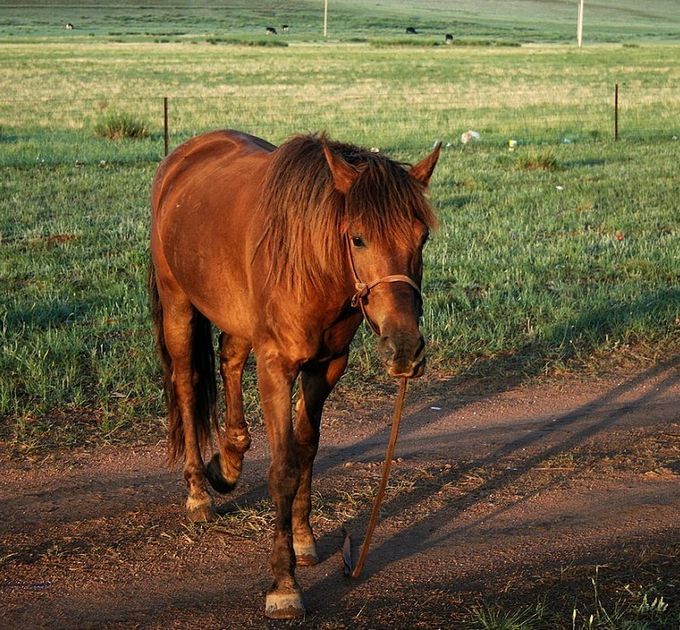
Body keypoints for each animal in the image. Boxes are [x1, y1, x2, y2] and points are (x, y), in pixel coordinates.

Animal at [149, 130, 440, 624]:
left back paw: (229, 462)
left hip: (236, 314)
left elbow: (307, 450)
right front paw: (283, 585)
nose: (404, 349)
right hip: (178, 307)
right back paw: (199, 494)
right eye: (358, 238)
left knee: (229, 359)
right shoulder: (276, 366)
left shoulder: (328, 365)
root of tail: (184, 155)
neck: (314, 266)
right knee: (187, 386)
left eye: (421, 237)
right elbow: (284, 467)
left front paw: (304, 540)